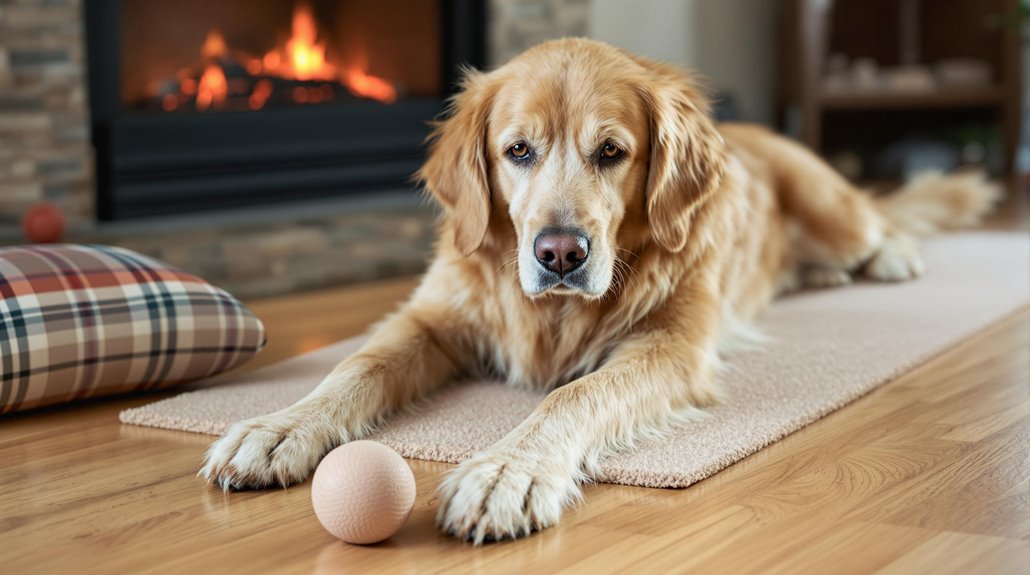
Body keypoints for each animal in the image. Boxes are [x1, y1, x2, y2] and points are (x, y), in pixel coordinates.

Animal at [200, 38, 997, 544]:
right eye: (517, 150)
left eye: (612, 152)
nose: (560, 253)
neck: (553, 311)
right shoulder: (431, 318)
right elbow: (356, 364)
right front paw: (279, 428)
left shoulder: (668, 348)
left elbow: (571, 396)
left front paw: (507, 472)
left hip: (830, 205)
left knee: (884, 223)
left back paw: (888, 260)